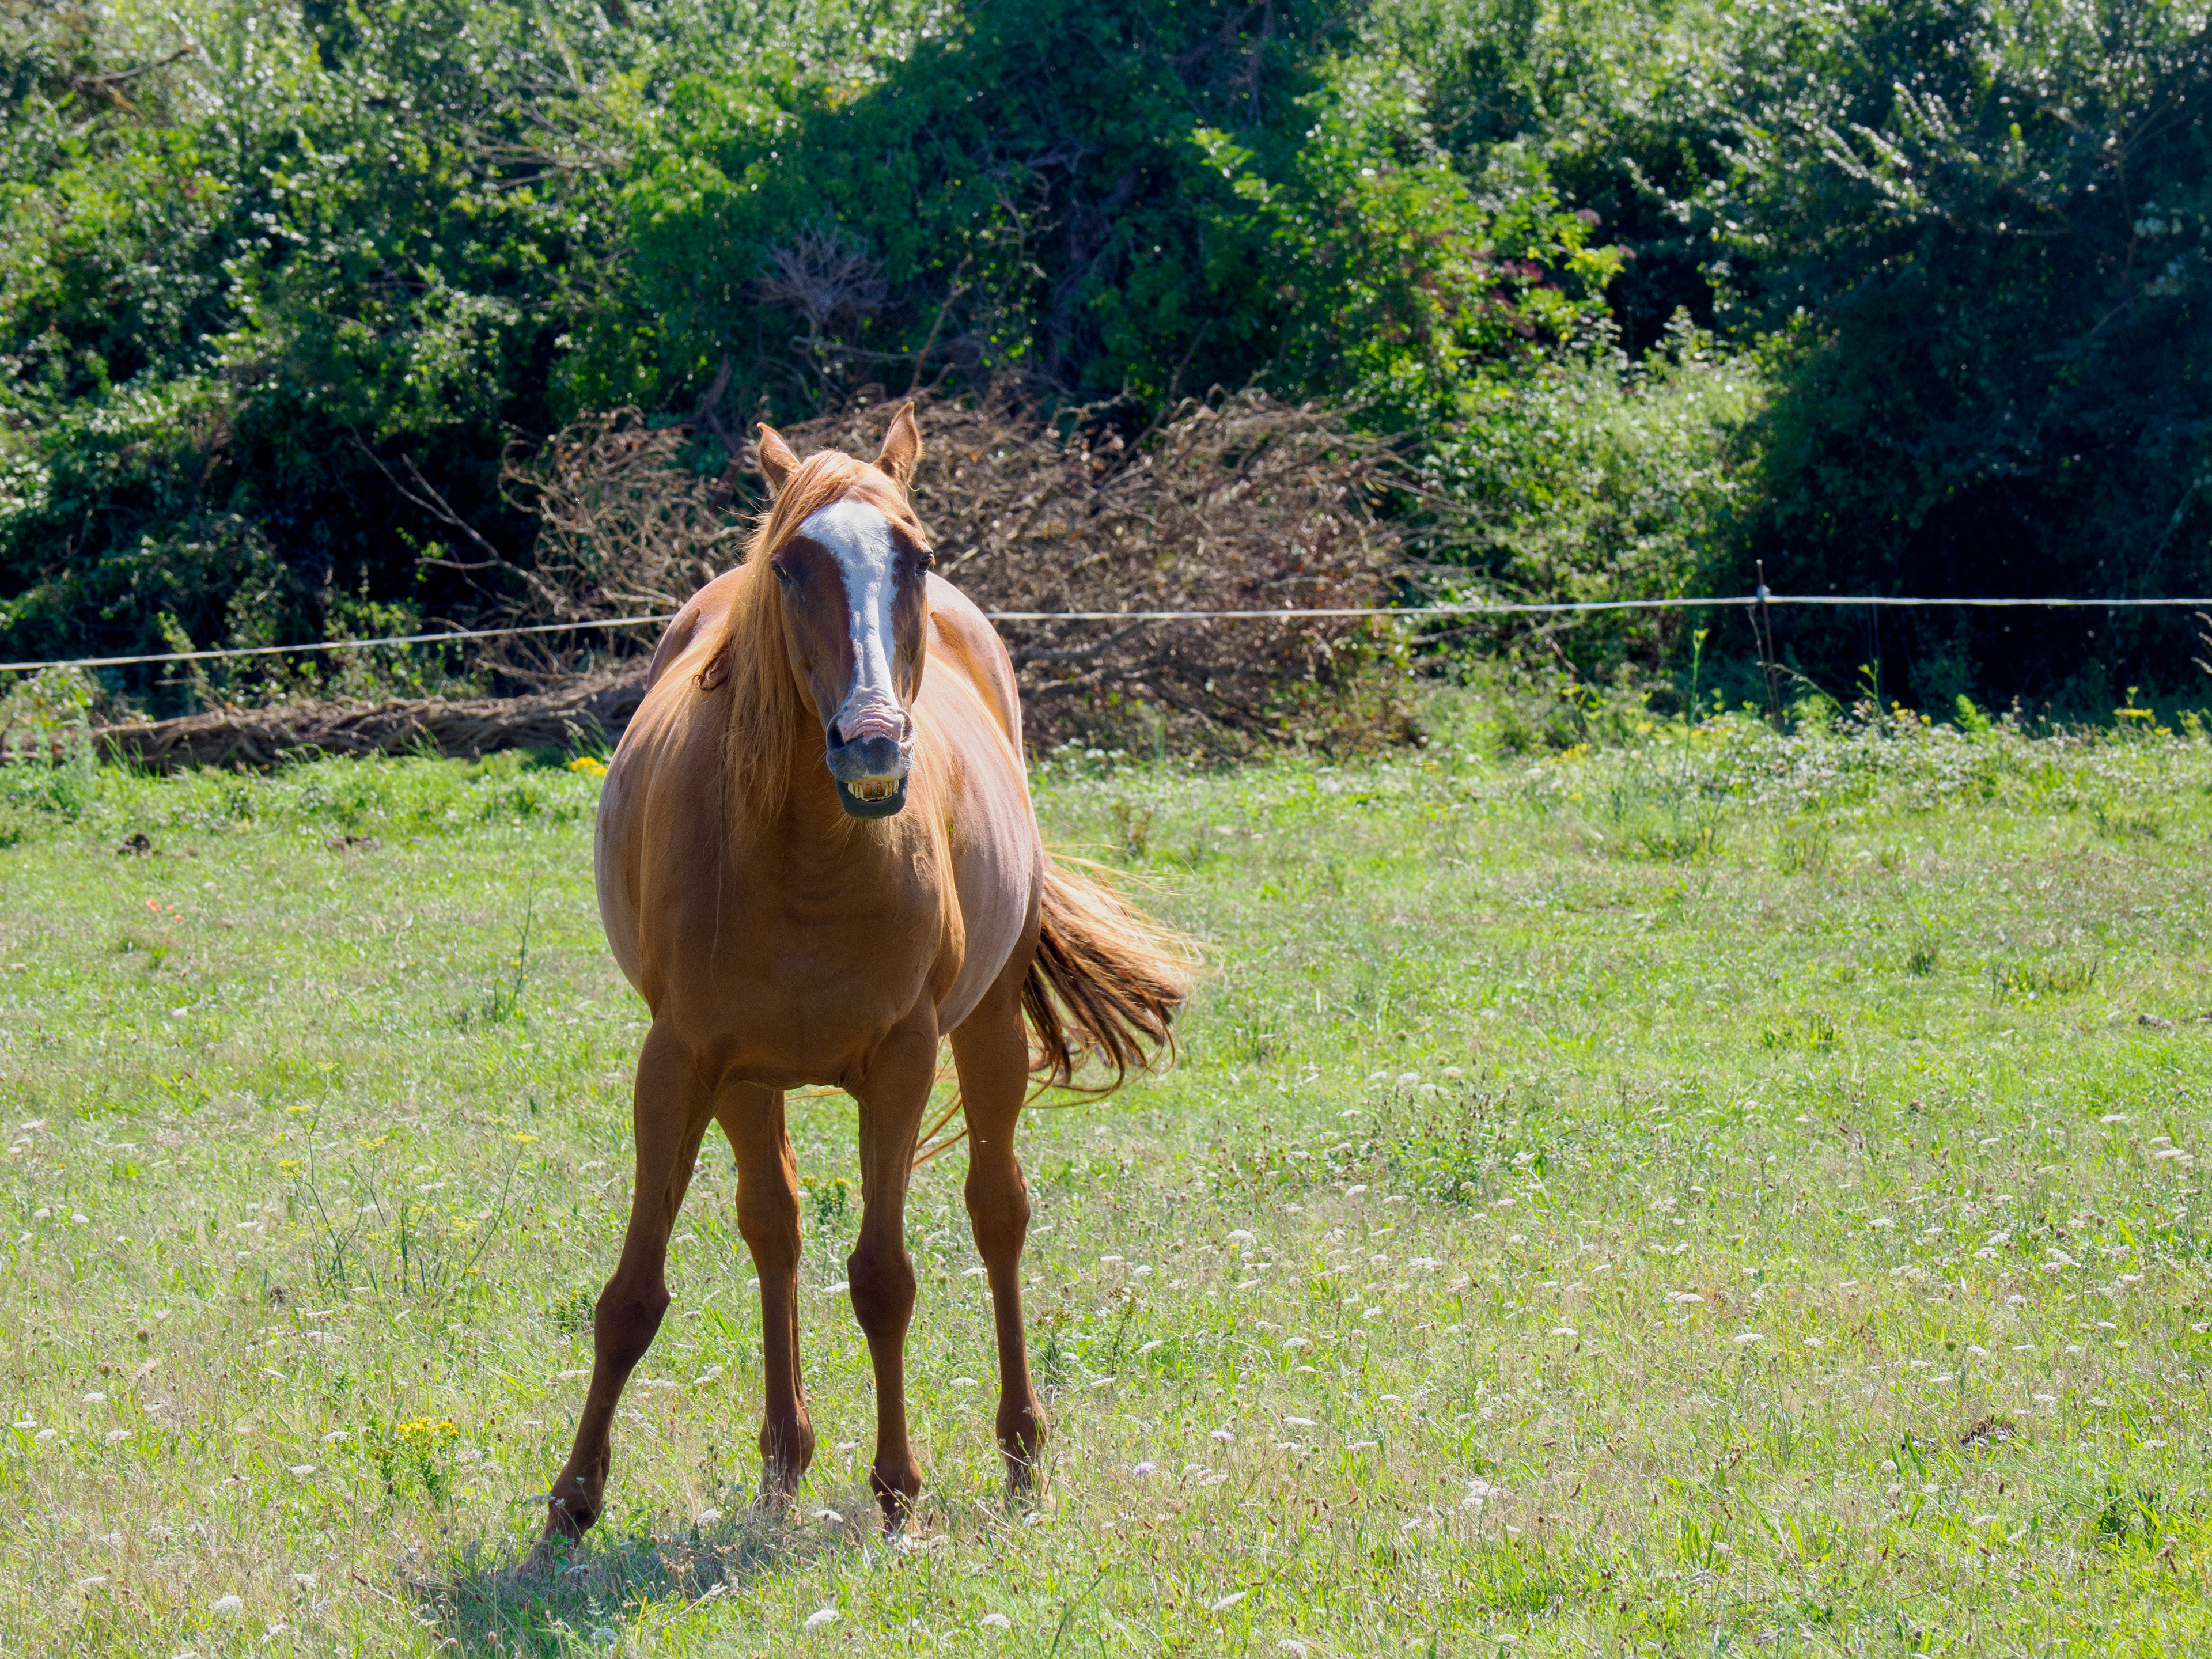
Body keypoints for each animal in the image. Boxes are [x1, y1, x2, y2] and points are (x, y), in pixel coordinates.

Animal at [537, 403, 1193, 1547]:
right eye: (790, 565)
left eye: (915, 557)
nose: (873, 742)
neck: (803, 849)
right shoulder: (681, 1060)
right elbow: (632, 1295)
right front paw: (571, 1507)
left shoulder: (902, 1058)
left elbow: (885, 1279)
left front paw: (898, 1491)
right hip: (748, 1081)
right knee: (775, 1228)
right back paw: (782, 1465)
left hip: (984, 1037)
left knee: (997, 1212)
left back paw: (1022, 1455)